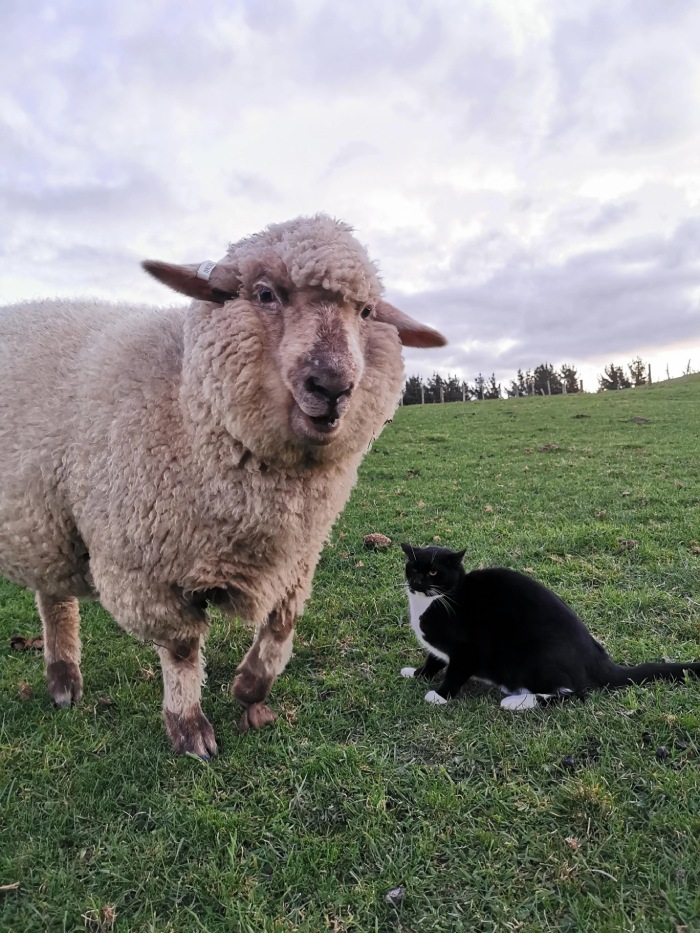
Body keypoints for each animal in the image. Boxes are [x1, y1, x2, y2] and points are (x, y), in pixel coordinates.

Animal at [0, 215, 446, 752]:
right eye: (265, 293)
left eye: (365, 311)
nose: (332, 386)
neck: (184, 402)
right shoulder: (142, 569)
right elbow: (182, 647)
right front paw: (189, 727)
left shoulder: (295, 558)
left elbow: (281, 625)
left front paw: (250, 689)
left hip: (47, 520)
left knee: (53, 595)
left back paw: (63, 677)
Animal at [400, 544, 700, 708]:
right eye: (412, 568)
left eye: (434, 572)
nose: (417, 582)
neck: (432, 602)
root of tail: (595, 655)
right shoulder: (440, 648)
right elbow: (433, 660)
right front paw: (416, 673)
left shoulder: (467, 648)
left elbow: (455, 672)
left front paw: (439, 696)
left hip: (534, 657)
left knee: (573, 692)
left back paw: (516, 701)